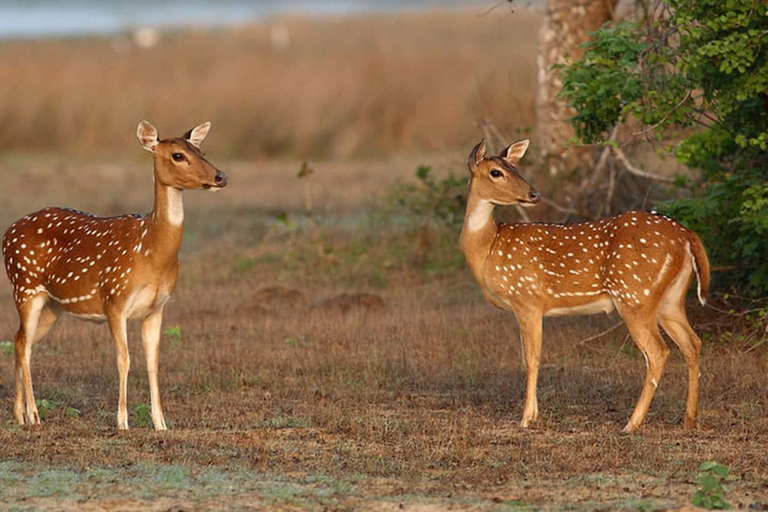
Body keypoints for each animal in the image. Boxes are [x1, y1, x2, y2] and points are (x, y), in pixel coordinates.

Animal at [1, 122, 228, 430]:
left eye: (202, 151)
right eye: (178, 155)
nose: (221, 176)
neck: (151, 252)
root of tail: (7, 233)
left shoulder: (157, 307)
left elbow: (153, 362)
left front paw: (161, 424)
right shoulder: (114, 299)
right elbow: (124, 359)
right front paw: (122, 422)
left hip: (52, 306)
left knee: (18, 339)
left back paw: (19, 414)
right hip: (25, 286)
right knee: (24, 344)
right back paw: (34, 416)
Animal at [460, 138, 712, 430]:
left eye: (514, 167)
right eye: (496, 172)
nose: (534, 194)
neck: (488, 248)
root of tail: (687, 235)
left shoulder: (527, 298)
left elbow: (532, 359)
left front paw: (526, 419)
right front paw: (533, 415)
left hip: (635, 295)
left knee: (658, 352)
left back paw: (632, 423)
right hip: (670, 299)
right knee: (692, 343)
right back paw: (689, 418)